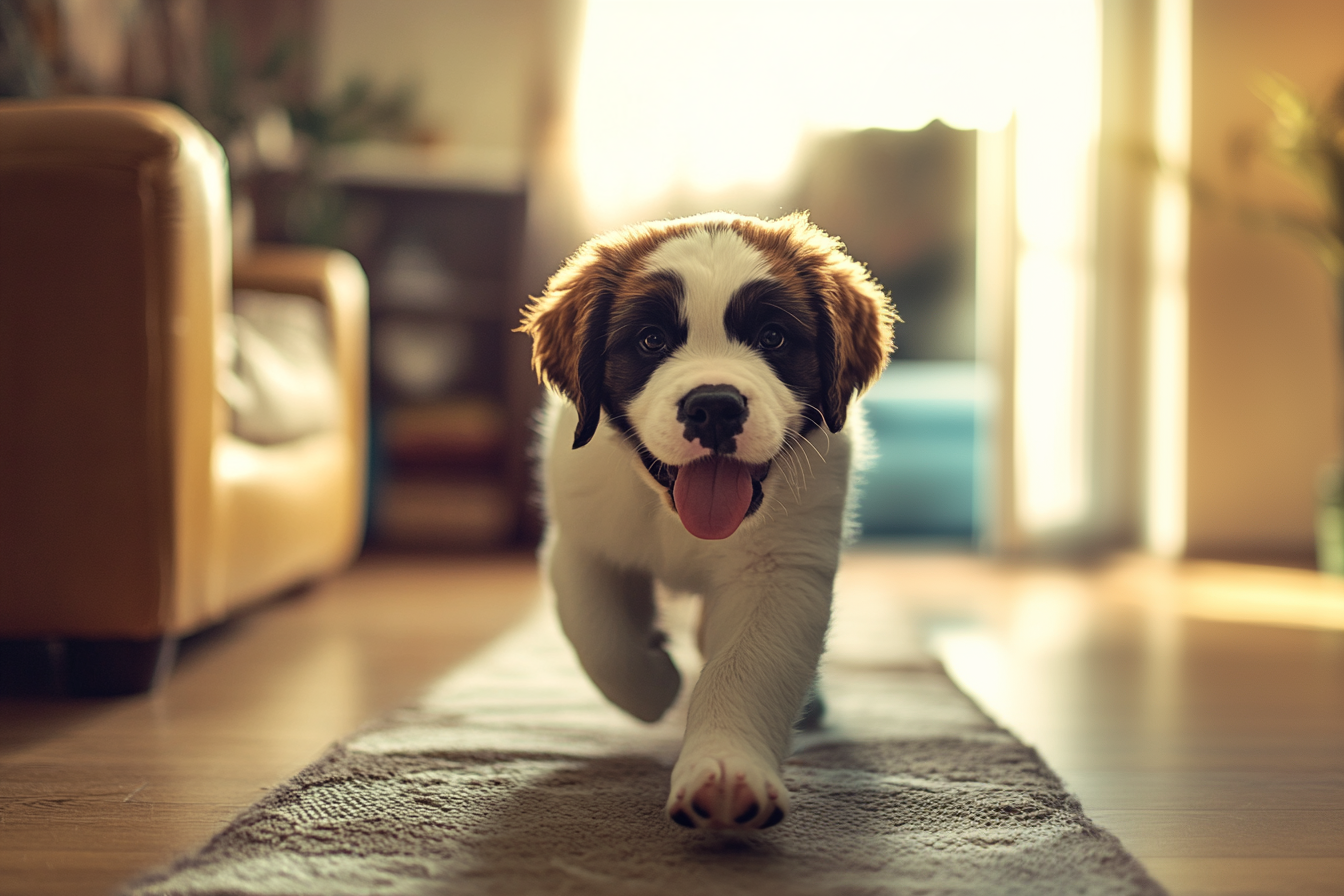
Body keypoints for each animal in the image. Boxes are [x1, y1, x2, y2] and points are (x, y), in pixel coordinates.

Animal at [518, 212, 897, 832]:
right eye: (651, 340)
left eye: (773, 337)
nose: (715, 406)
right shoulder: (581, 537)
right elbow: (600, 637)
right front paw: (654, 684)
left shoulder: (781, 571)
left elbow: (745, 668)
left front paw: (724, 771)